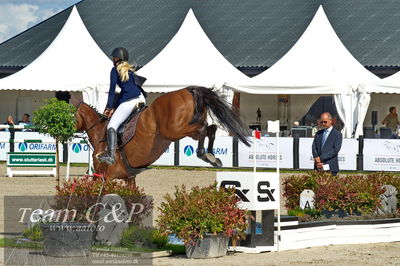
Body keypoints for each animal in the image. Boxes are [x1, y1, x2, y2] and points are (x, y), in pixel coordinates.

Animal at [74, 86, 250, 182]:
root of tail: (189, 90)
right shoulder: (129, 177)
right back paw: (212, 156)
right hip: (185, 129)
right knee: (210, 129)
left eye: (71, 115)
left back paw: (203, 154)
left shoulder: (104, 176)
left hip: (174, 130)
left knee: (204, 129)